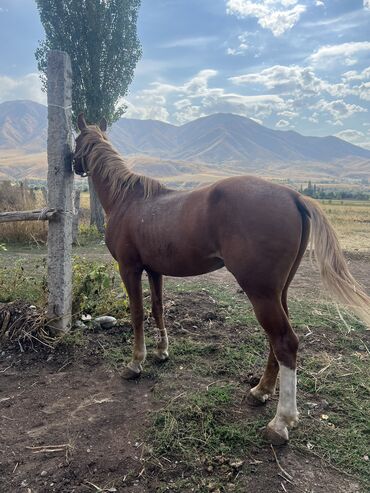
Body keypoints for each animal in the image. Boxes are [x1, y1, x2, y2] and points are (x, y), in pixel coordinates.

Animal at [73, 113, 370, 444]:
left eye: (76, 140)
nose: (71, 163)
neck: (128, 200)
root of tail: (293, 195)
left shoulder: (129, 268)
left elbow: (137, 314)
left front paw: (136, 363)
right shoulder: (154, 270)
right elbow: (158, 309)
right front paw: (161, 352)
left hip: (260, 293)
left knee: (285, 342)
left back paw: (280, 422)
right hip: (277, 292)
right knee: (277, 341)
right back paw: (261, 391)